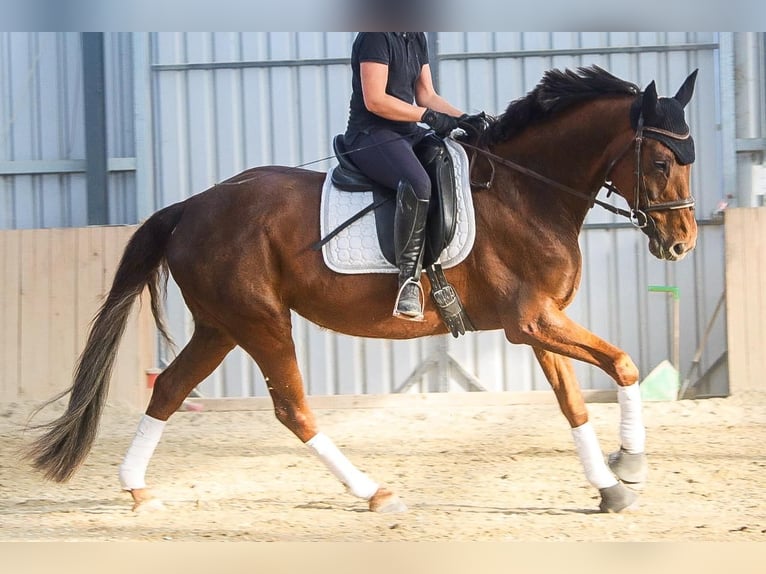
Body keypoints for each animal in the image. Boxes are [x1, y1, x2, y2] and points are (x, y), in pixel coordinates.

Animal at [27, 66, 699, 514]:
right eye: (662, 163)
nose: (682, 244)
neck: (525, 190)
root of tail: (189, 207)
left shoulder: (538, 324)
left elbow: (576, 403)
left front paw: (609, 485)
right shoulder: (531, 321)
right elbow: (624, 364)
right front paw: (630, 466)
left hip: (221, 326)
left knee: (168, 388)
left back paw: (137, 488)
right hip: (260, 322)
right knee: (292, 409)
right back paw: (374, 492)